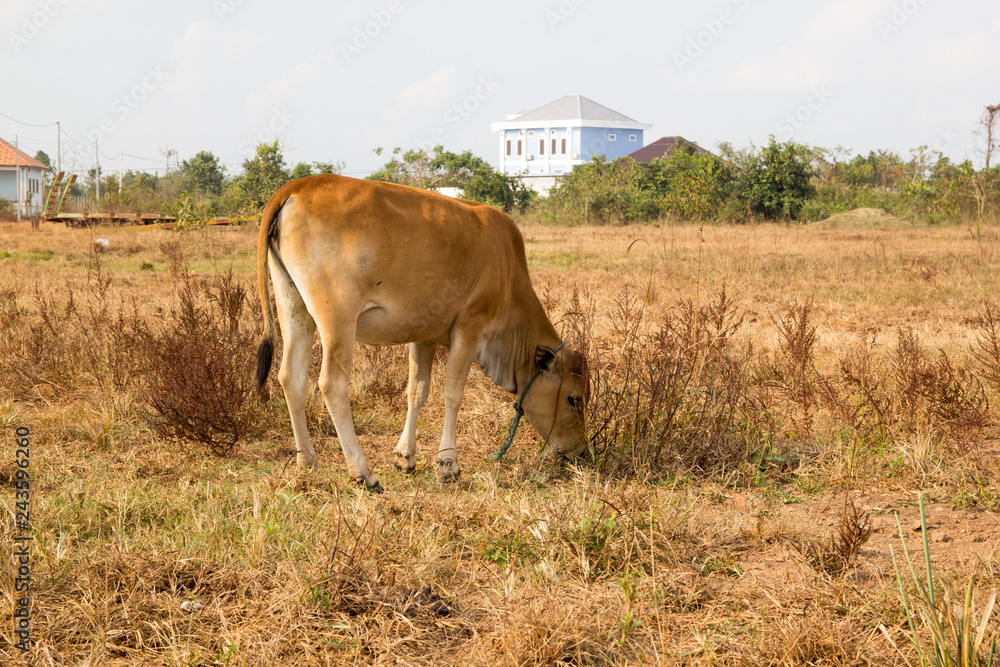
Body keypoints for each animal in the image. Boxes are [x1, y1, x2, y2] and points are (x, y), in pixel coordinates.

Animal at [255, 175, 588, 492]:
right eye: (574, 399)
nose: (581, 453)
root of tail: (299, 185)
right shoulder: (470, 324)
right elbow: (453, 393)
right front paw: (448, 464)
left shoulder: (423, 334)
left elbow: (417, 391)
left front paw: (405, 457)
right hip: (338, 319)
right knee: (331, 385)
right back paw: (363, 473)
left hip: (293, 308)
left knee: (291, 379)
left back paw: (307, 463)